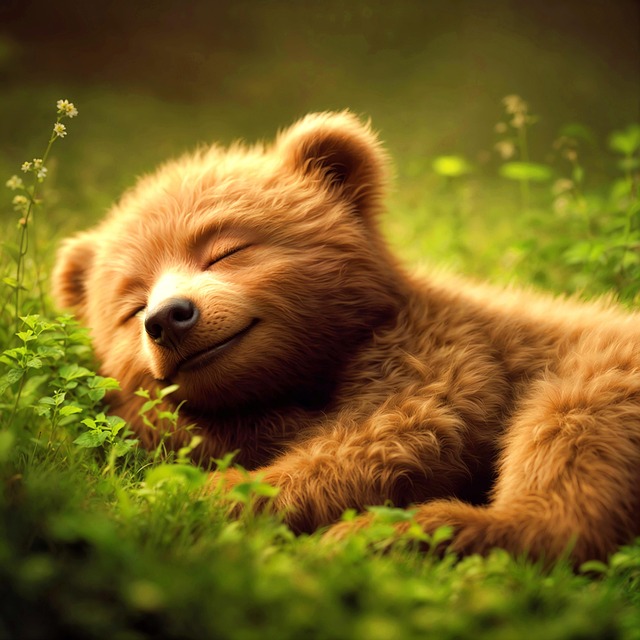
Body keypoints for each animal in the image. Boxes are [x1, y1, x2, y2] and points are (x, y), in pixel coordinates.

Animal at [52, 111, 640, 566]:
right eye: (131, 305)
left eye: (226, 250)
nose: (169, 317)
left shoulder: (447, 348)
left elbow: (398, 434)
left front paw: (201, 491)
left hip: (602, 376)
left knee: (567, 448)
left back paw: (403, 531)